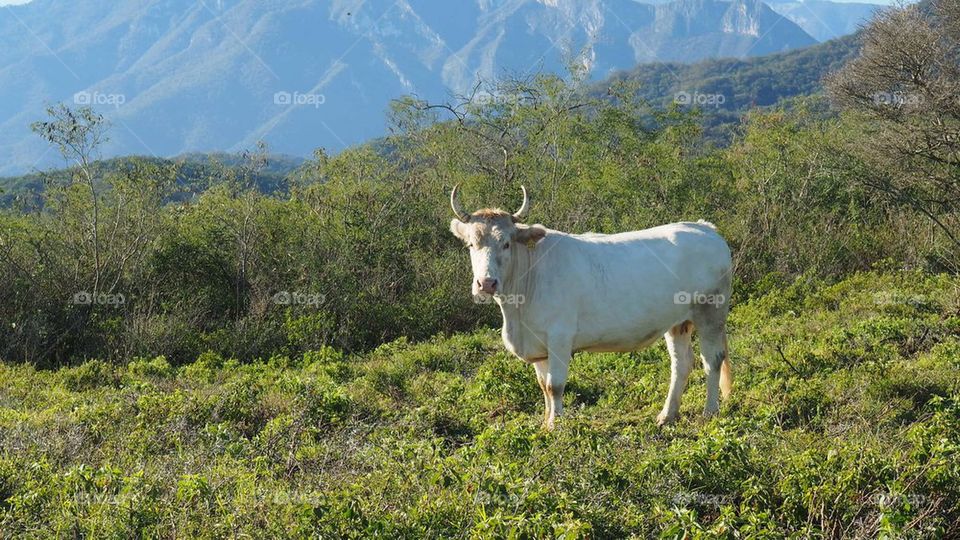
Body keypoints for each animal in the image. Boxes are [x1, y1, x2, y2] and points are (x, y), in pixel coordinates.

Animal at [450, 186, 736, 430]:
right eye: (471, 244)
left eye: (507, 243)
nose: (486, 283)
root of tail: (705, 228)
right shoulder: (538, 344)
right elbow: (543, 385)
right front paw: (545, 423)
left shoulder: (560, 337)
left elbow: (555, 385)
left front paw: (556, 425)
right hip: (678, 322)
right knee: (681, 363)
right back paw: (667, 415)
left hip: (711, 312)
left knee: (712, 360)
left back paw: (709, 412)